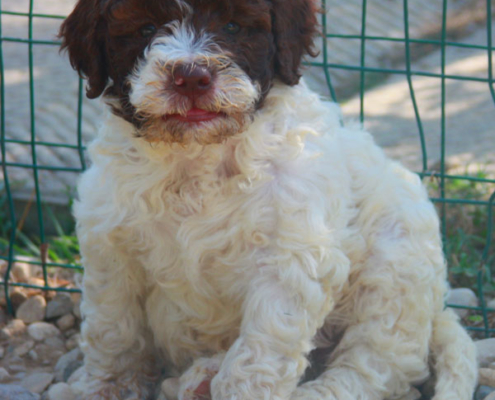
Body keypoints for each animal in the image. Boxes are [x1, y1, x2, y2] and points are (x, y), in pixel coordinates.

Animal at [60, 0, 478, 400]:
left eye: (232, 26)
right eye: (145, 28)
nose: (192, 77)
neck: (197, 156)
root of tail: (437, 310)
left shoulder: (291, 257)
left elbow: (260, 352)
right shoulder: (110, 243)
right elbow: (114, 328)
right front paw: (108, 386)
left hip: (395, 266)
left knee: (372, 367)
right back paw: (202, 377)